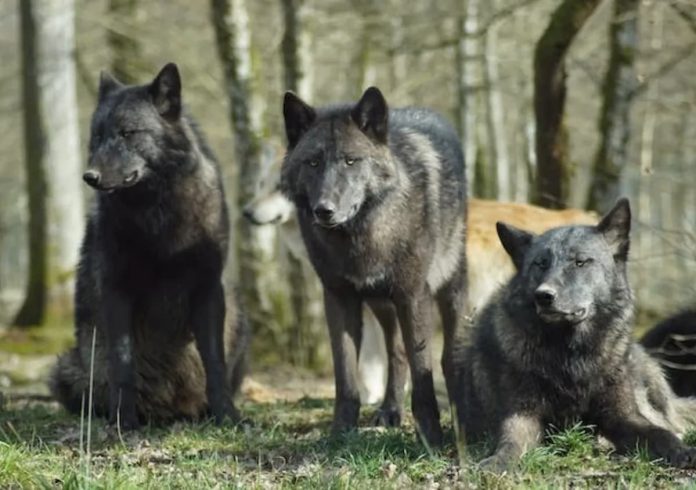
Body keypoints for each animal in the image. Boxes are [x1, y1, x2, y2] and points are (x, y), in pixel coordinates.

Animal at [49, 62, 250, 428]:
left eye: (128, 133)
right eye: (97, 136)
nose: (90, 176)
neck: (158, 213)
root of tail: (169, 411)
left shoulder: (208, 289)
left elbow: (215, 363)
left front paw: (227, 416)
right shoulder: (116, 290)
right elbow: (123, 363)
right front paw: (123, 422)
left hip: (240, 316)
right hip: (67, 368)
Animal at [282, 86, 468, 446]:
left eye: (350, 160)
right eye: (313, 162)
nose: (324, 210)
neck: (361, 237)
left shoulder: (413, 296)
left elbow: (423, 370)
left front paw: (431, 437)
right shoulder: (338, 299)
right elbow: (345, 377)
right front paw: (340, 433)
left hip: (448, 291)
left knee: (448, 356)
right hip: (381, 304)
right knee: (396, 353)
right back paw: (390, 411)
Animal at [462, 198, 696, 470]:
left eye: (580, 262)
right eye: (540, 263)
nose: (543, 296)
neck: (571, 356)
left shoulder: (624, 416)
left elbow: (659, 433)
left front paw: (681, 451)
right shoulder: (522, 415)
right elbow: (510, 442)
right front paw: (497, 462)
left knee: (670, 421)